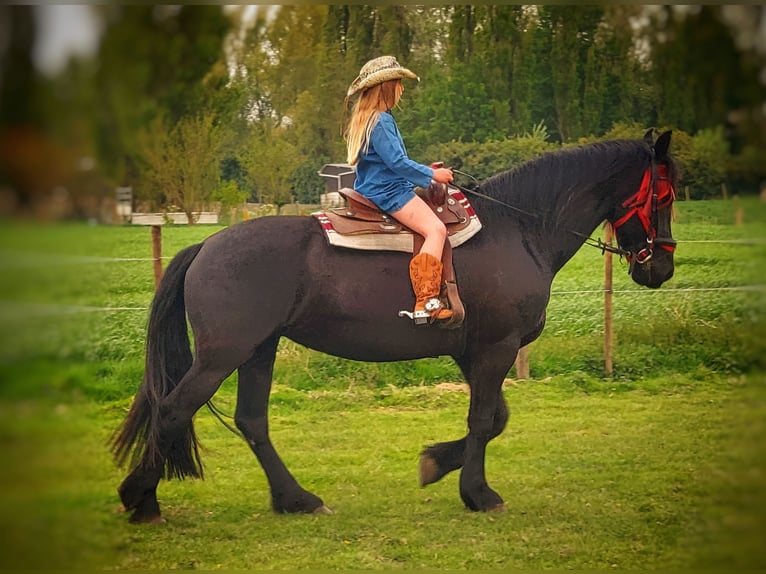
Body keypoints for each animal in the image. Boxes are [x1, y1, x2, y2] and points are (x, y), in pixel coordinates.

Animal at [112, 129, 680, 520]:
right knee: (173, 410)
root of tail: (207, 244)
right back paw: (141, 500)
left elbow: (496, 418)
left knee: (252, 421)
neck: (519, 229)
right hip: (222, 355)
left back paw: (296, 499)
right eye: (665, 196)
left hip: (259, 350)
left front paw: (437, 463)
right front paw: (478, 493)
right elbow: (484, 421)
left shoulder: (472, 351)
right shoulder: (496, 348)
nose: (661, 268)